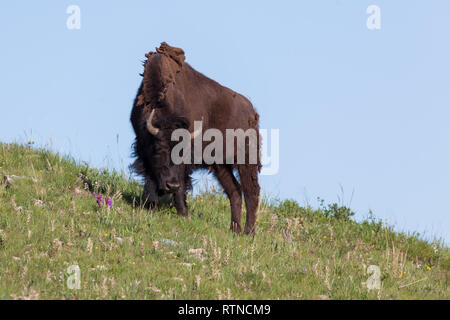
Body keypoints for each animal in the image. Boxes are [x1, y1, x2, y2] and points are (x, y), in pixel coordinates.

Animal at [130, 42, 262, 235]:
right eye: (159, 149)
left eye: (181, 152)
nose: (171, 185)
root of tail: (252, 113)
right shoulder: (142, 149)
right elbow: (150, 177)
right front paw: (151, 205)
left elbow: (181, 183)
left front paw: (183, 213)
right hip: (220, 165)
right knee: (235, 191)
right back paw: (234, 229)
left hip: (246, 160)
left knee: (251, 192)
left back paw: (248, 233)